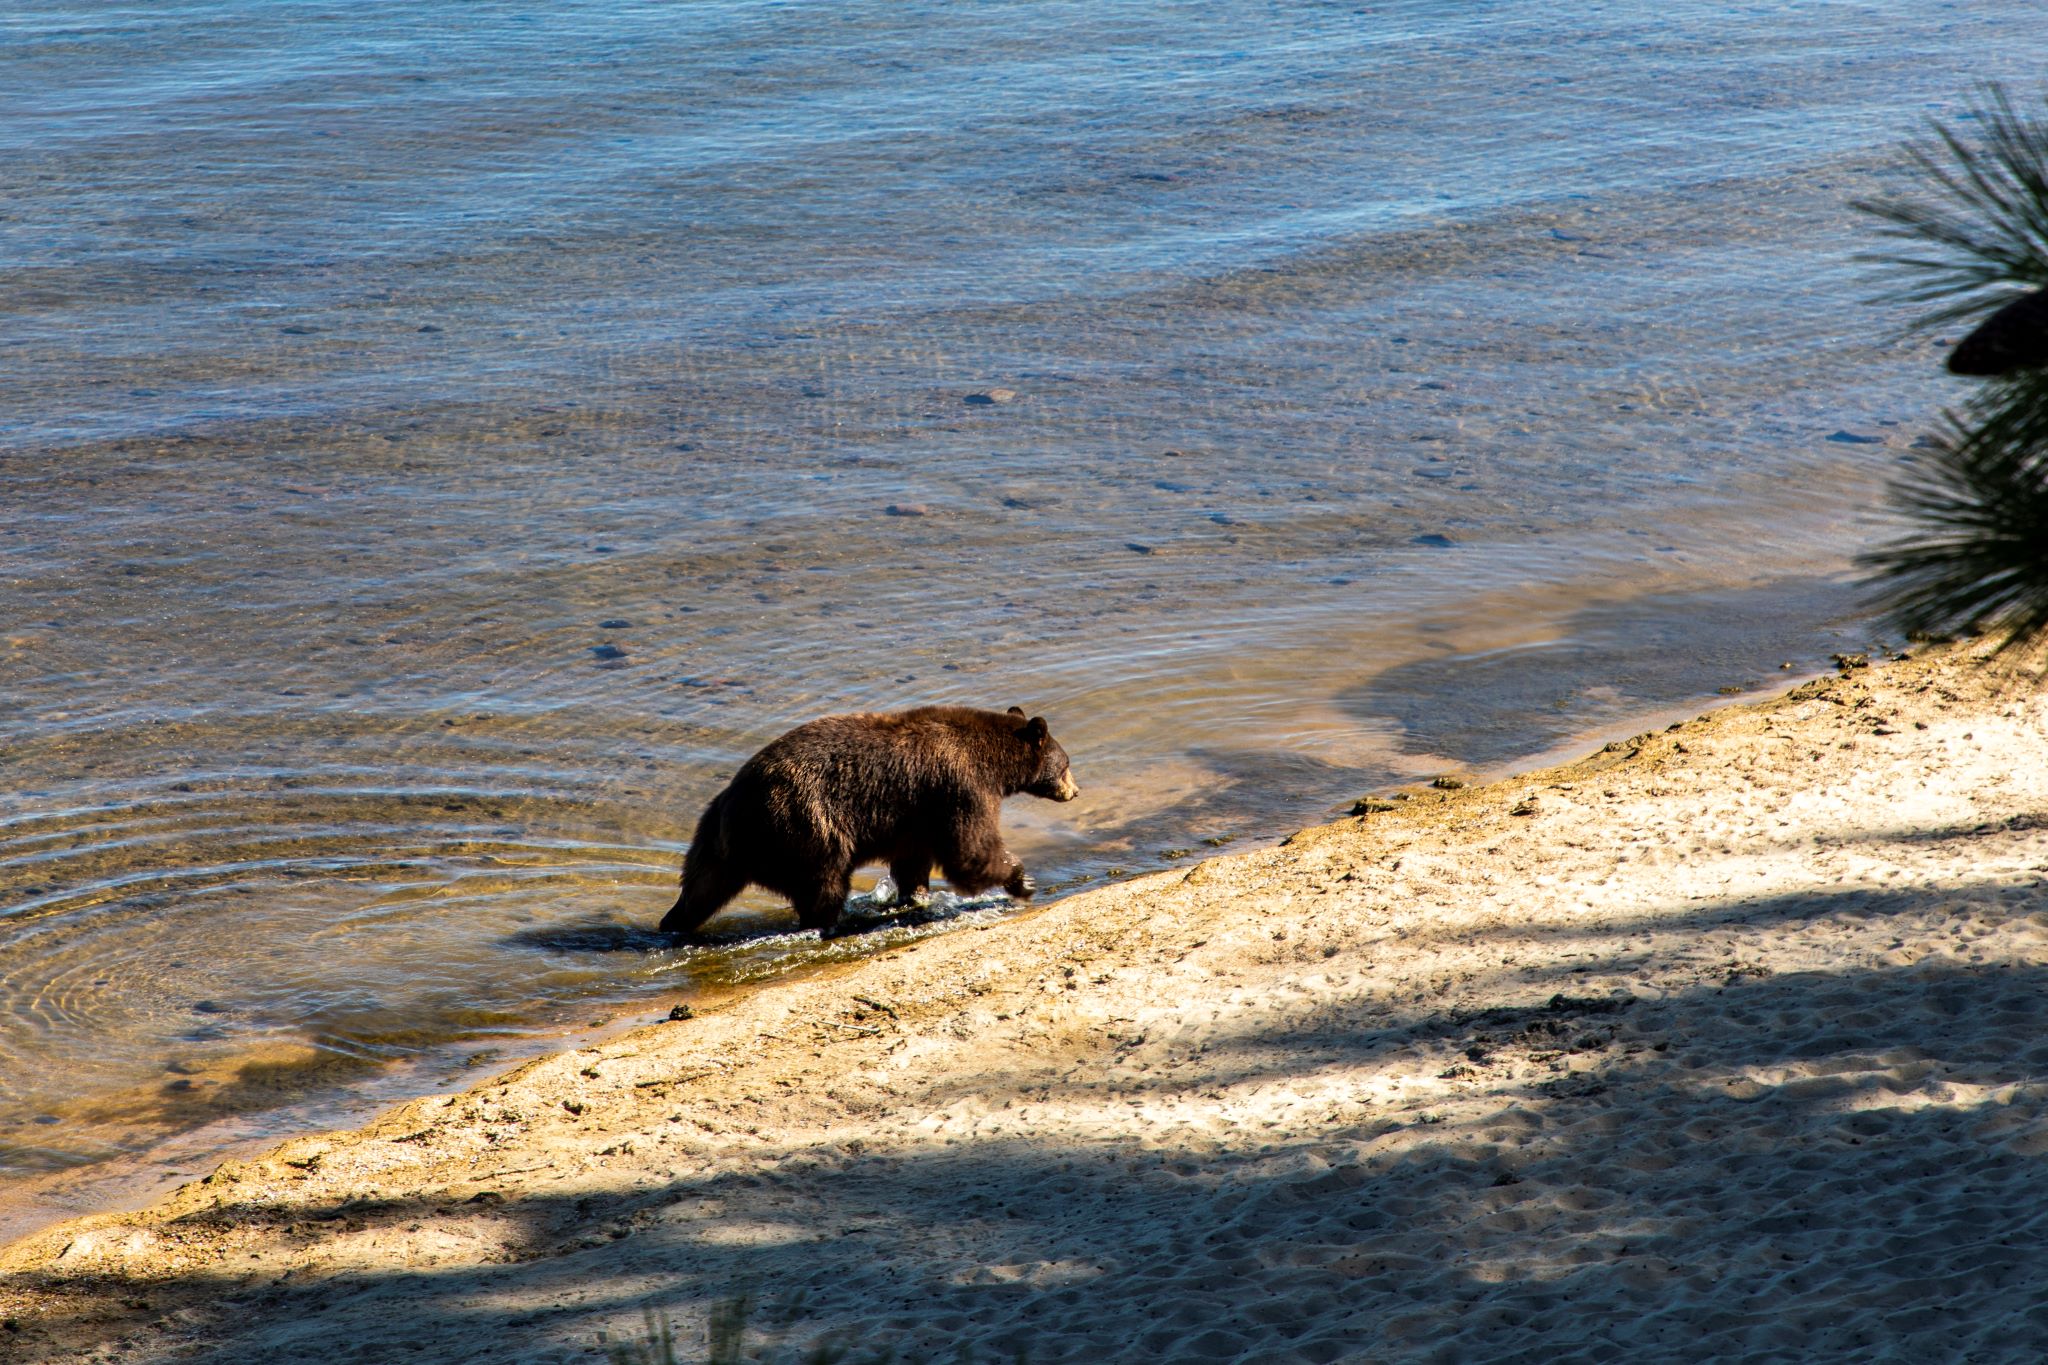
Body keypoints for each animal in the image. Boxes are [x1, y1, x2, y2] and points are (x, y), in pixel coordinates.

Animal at [659, 703, 1081, 941]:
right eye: (1066, 763)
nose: (1075, 792)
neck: (992, 762)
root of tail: (734, 805)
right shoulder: (960, 787)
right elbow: (970, 850)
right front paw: (1022, 880)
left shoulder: (917, 813)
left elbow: (914, 860)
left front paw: (916, 896)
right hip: (806, 826)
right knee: (823, 884)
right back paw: (830, 923)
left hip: (714, 838)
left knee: (702, 886)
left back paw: (673, 921)